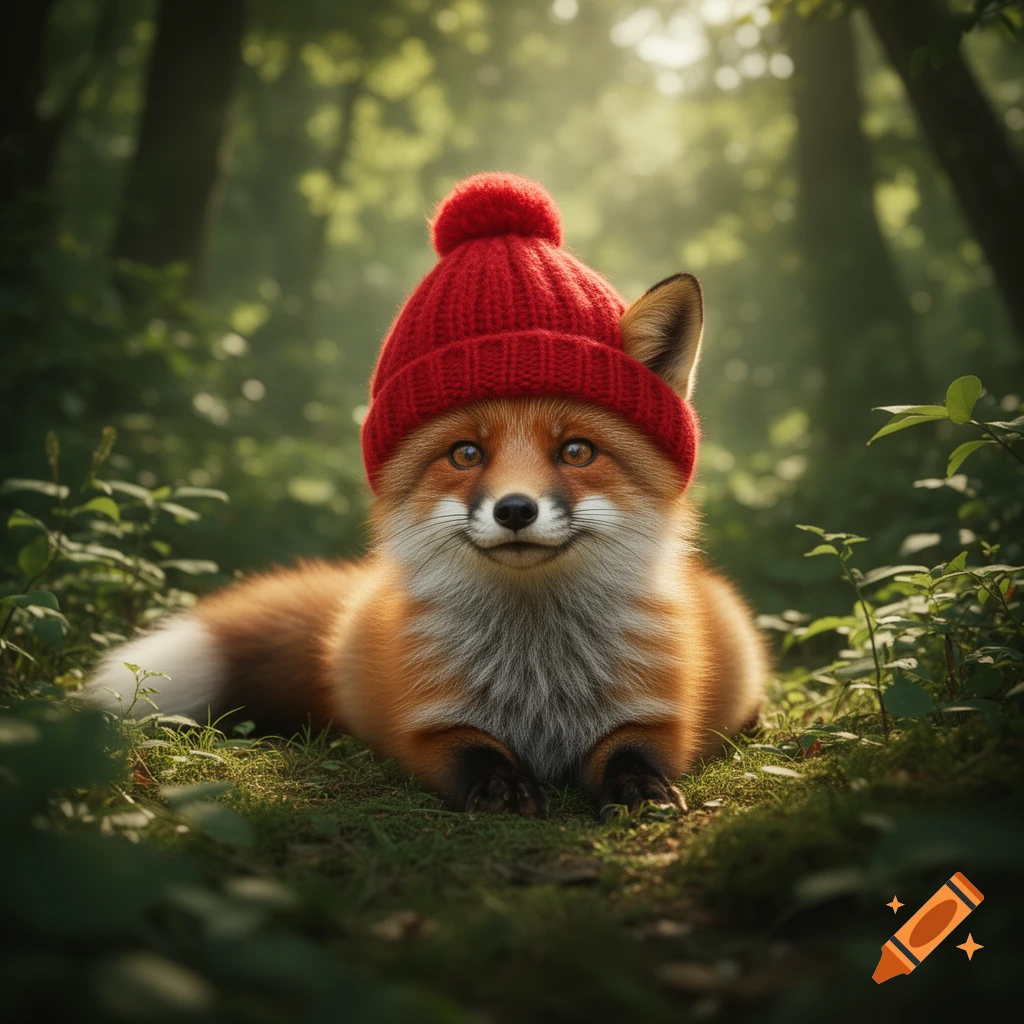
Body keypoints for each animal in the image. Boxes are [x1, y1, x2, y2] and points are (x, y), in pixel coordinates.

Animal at [85, 270, 766, 817]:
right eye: (466, 454)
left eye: (577, 451)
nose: (514, 509)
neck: (540, 681)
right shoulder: (425, 725)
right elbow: (473, 752)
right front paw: (503, 788)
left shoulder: (659, 714)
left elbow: (632, 755)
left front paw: (642, 790)